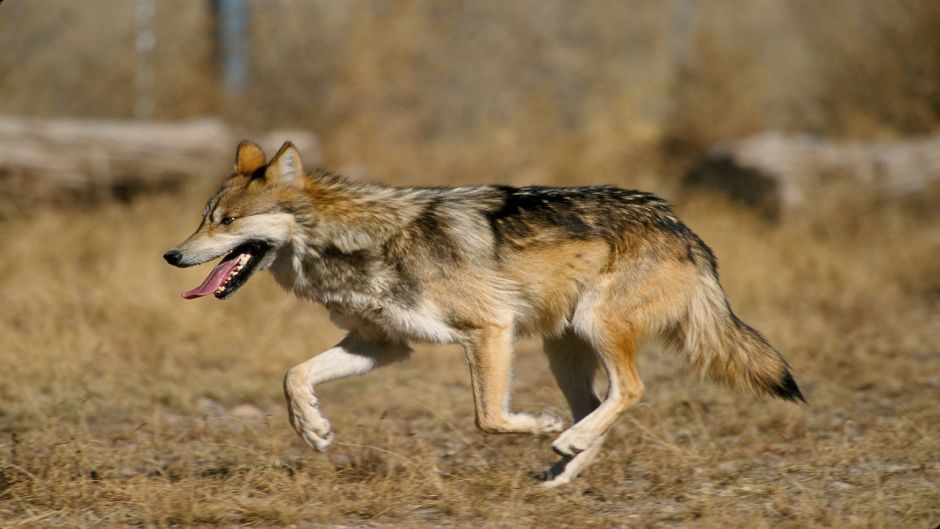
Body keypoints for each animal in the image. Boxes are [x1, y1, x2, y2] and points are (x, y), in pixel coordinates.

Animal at [164, 141, 804, 486]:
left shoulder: (489, 330)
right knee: (600, 405)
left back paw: (564, 440)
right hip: (562, 349)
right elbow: (293, 375)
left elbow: (488, 418)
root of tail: (683, 228)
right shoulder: (383, 345)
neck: (357, 241)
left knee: (631, 390)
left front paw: (539, 425)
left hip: (593, 328)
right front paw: (314, 430)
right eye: (202, 219)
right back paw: (563, 470)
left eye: (225, 222)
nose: (171, 255)